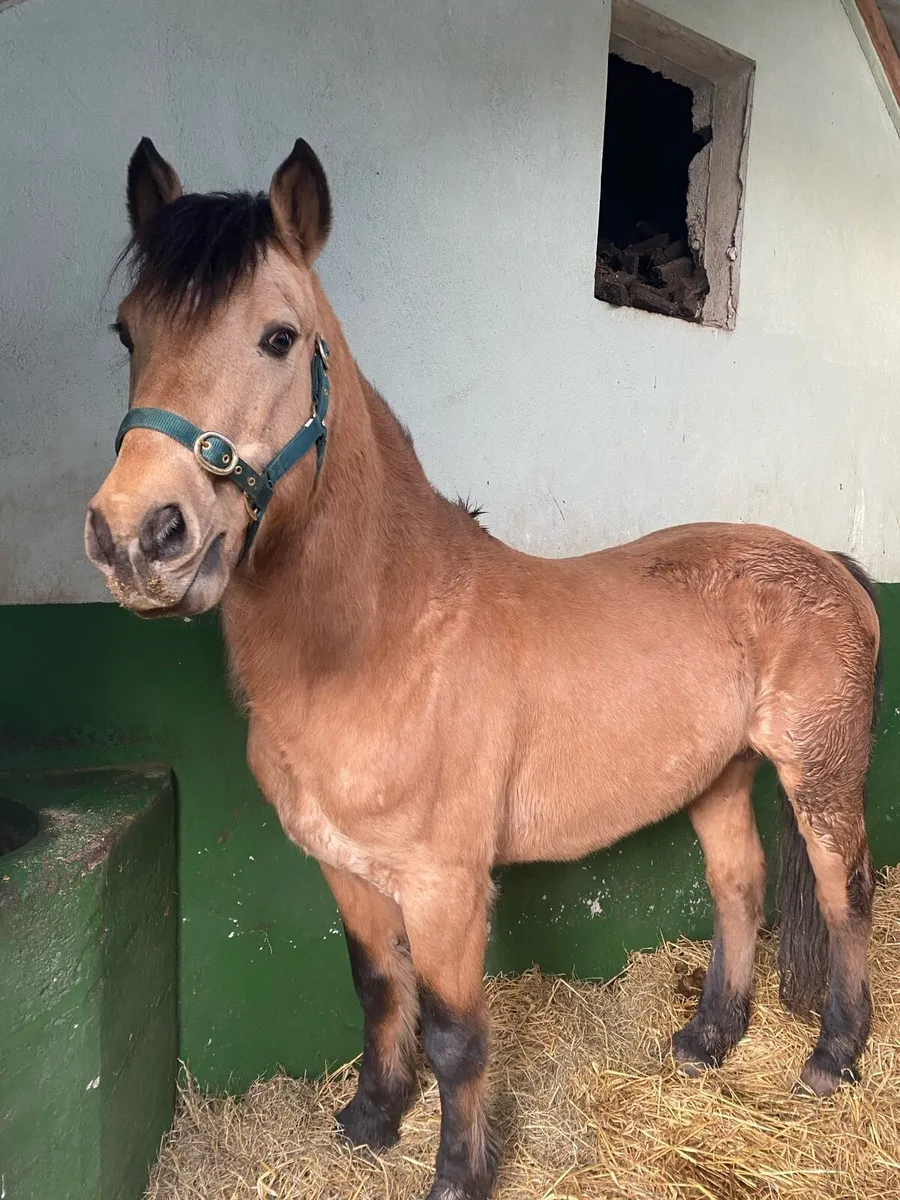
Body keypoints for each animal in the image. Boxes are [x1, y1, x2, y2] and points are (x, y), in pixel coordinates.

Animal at [85, 137, 881, 1200]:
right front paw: (372, 1118)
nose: (139, 536)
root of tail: (825, 562)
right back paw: (709, 1039)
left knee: (845, 897)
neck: (385, 636)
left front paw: (459, 1172)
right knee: (739, 887)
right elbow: (379, 990)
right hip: (720, 776)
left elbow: (457, 1034)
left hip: (820, 777)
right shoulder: (346, 871)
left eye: (279, 338)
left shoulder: (446, 887)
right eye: (128, 333)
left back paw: (834, 1056)